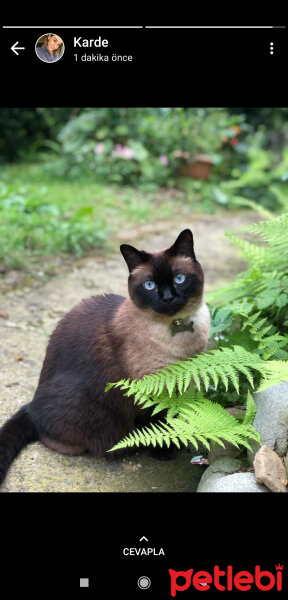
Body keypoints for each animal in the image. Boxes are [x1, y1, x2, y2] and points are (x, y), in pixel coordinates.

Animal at [0, 227, 209, 486]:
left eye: (179, 279)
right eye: (150, 285)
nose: (167, 298)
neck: (177, 333)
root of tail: (31, 405)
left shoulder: (183, 385)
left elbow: (175, 415)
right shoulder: (151, 389)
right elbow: (158, 423)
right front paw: (165, 451)